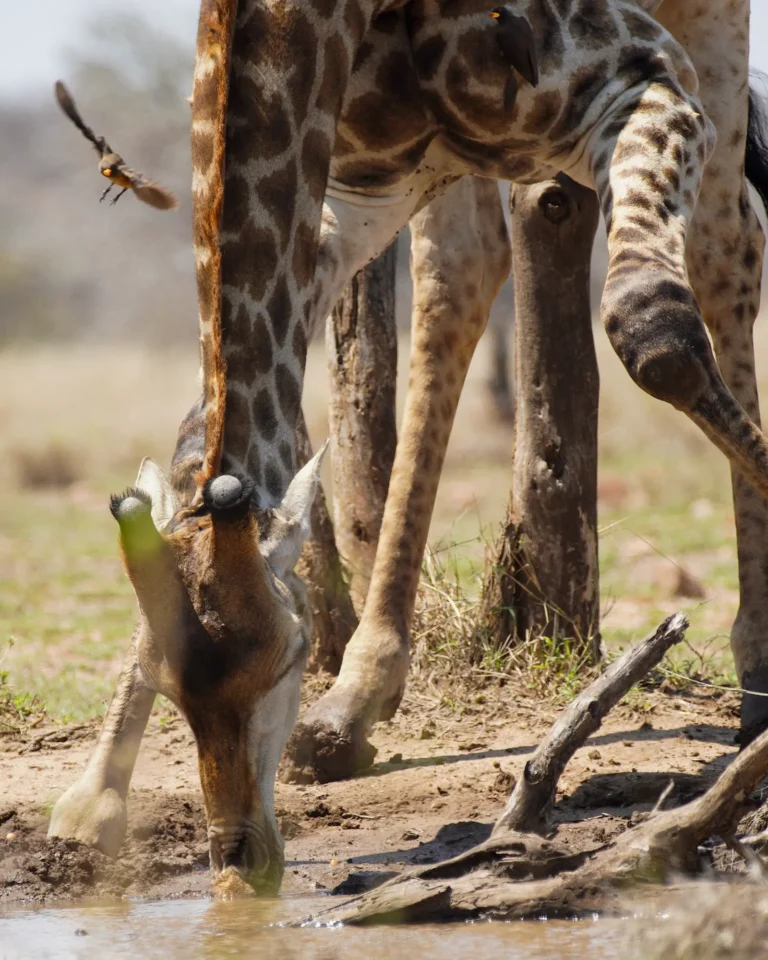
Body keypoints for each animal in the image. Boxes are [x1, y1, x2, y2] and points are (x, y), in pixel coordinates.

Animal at [49, 0, 768, 894]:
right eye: (173, 686)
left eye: (287, 657)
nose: (239, 862)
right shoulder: (358, 188)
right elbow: (194, 443)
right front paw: (95, 799)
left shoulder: (642, 76)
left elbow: (652, 327)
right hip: (436, 166)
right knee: (464, 268)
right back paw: (358, 696)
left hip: (704, 42)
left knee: (725, 245)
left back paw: (756, 670)